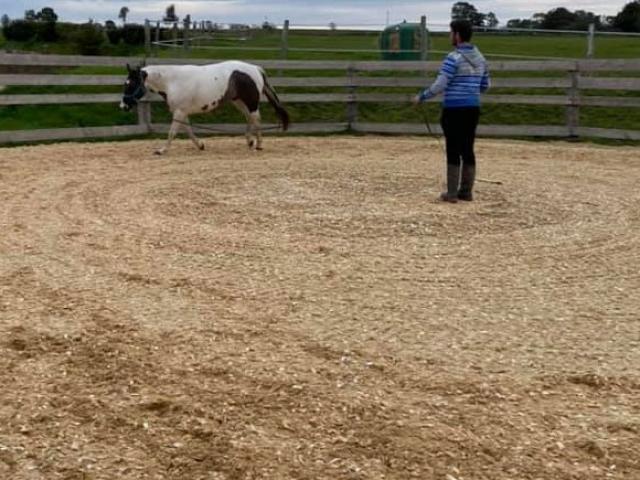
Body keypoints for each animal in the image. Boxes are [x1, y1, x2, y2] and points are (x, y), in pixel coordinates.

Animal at [120, 60, 290, 154]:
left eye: (131, 84)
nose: (123, 106)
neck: (172, 81)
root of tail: (256, 69)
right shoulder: (182, 112)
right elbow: (188, 131)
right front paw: (201, 145)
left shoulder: (179, 112)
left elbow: (172, 133)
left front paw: (161, 150)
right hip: (239, 102)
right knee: (249, 118)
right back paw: (250, 142)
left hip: (250, 102)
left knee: (256, 119)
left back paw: (258, 145)